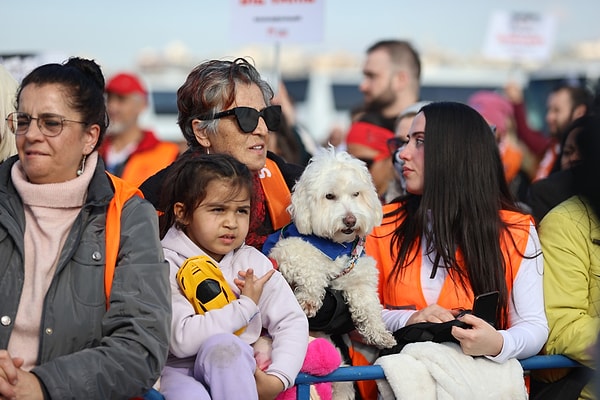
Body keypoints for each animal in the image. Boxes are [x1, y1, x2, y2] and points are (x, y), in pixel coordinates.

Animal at [268, 145, 398, 348]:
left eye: (356, 194)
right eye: (329, 196)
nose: (350, 220)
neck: (335, 244)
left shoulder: (356, 273)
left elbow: (368, 303)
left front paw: (379, 332)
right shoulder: (288, 249)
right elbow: (310, 270)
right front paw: (309, 300)